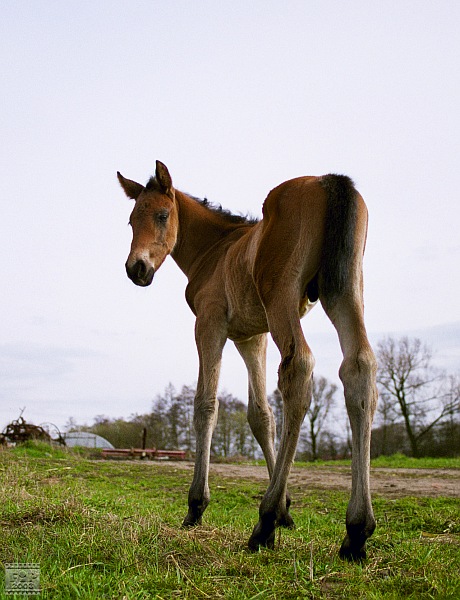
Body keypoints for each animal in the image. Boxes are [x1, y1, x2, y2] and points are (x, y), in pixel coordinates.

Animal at [117, 162, 378, 560]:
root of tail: (328, 181)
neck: (215, 250)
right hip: (346, 288)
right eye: (131, 221)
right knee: (359, 367)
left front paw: (196, 506)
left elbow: (205, 406)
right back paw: (356, 531)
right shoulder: (251, 336)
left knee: (299, 368)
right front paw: (287, 509)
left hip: (281, 293)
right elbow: (261, 415)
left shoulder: (210, 323)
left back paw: (264, 524)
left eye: (162, 215)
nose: (137, 269)